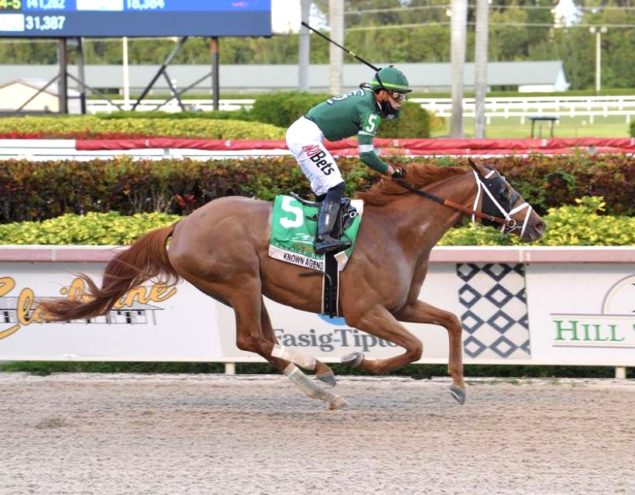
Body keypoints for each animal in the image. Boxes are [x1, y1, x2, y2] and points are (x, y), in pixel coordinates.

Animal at [41, 160, 548, 410]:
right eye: (504, 190)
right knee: (251, 339)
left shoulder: (403, 305)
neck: (396, 232)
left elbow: (454, 322)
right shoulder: (365, 311)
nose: (538, 225)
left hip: (246, 289)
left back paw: (319, 380)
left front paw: (459, 386)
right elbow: (416, 347)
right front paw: (360, 360)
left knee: (262, 340)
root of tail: (180, 225)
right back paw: (322, 373)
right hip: (239, 280)